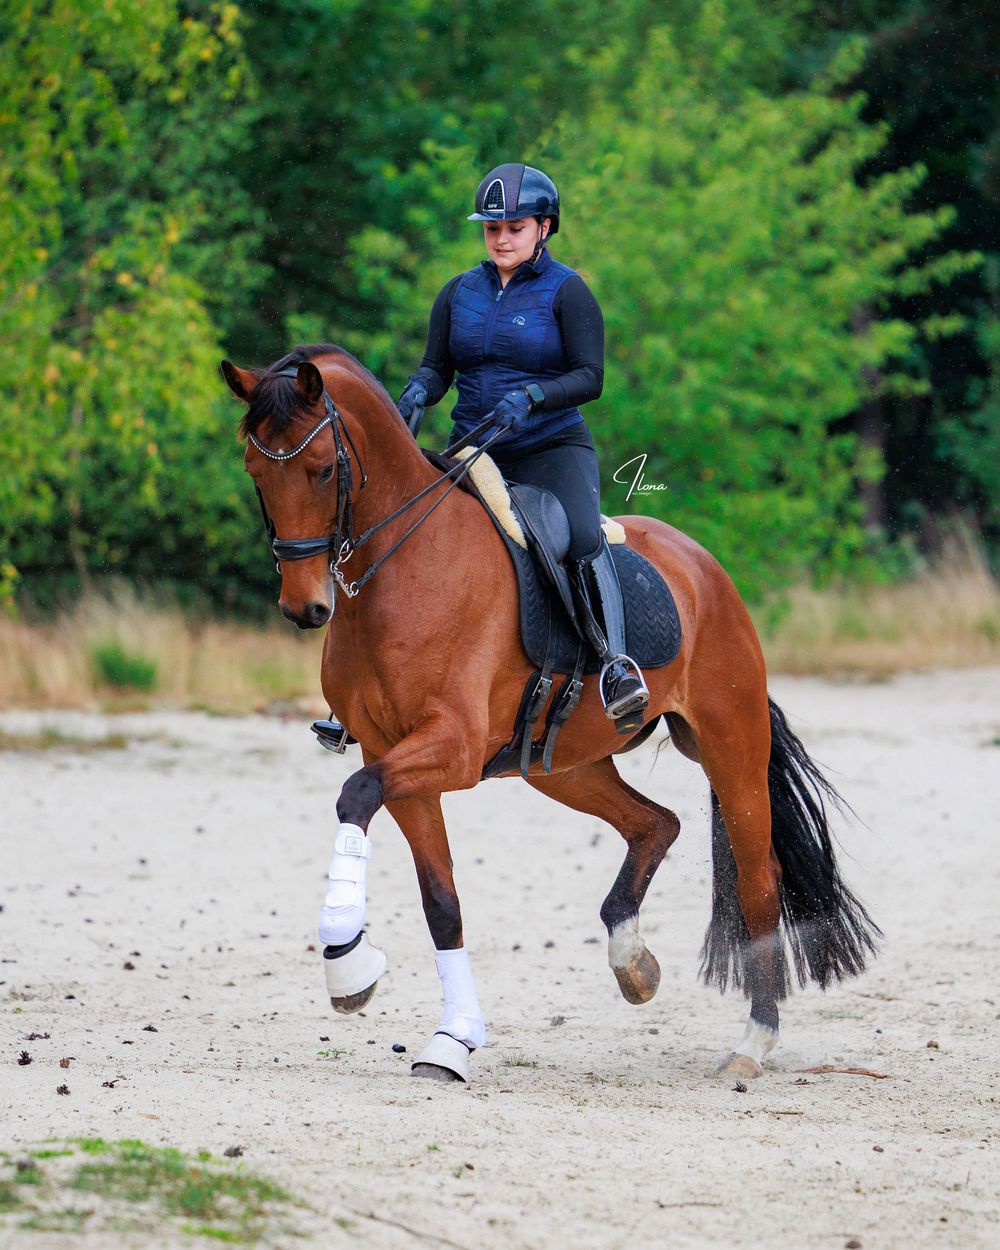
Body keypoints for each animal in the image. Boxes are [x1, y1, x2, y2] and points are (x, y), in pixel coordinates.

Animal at [220, 342, 879, 1084]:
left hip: (729, 742)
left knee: (758, 879)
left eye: (324, 469)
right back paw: (633, 963)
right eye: (254, 472)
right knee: (656, 824)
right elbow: (441, 902)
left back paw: (753, 1041)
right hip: (562, 763)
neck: (402, 569)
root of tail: (704, 567)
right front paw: (451, 1039)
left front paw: (345, 961)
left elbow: (355, 796)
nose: (305, 608)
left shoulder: (448, 748)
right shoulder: (391, 754)